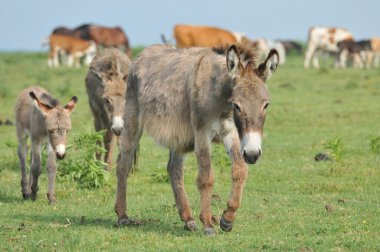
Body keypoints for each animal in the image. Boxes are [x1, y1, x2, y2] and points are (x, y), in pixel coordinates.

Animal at [113, 44, 280, 235]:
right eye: (237, 106)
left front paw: (227, 219)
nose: (252, 154)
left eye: (266, 105)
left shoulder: (231, 132)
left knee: (174, 169)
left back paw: (188, 219)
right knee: (123, 164)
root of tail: (143, 53)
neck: (222, 98)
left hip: (177, 136)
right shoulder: (202, 133)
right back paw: (122, 216)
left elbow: (240, 170)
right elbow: (206, 177)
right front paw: (208, 224)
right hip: (133, 121)